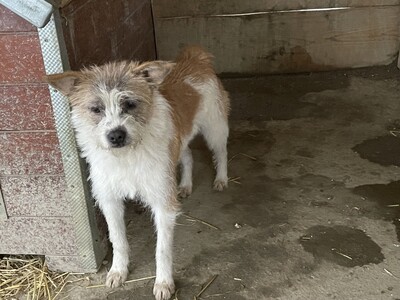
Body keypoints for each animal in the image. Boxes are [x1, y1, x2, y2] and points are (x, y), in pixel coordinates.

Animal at [45, 45, 230, 298]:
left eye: (130, 104)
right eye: (96, 109)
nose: (116, 135)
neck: (126, 156)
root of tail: (195, 58)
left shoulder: (163, 204)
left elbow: (162, 250)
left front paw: (163, 283)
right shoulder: (109, 200)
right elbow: (118, 241)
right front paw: (118, 271)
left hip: (215, 129)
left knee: (221, 152)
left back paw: (221, 179)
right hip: (179, 142)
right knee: (188, 156)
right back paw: (185, 185)